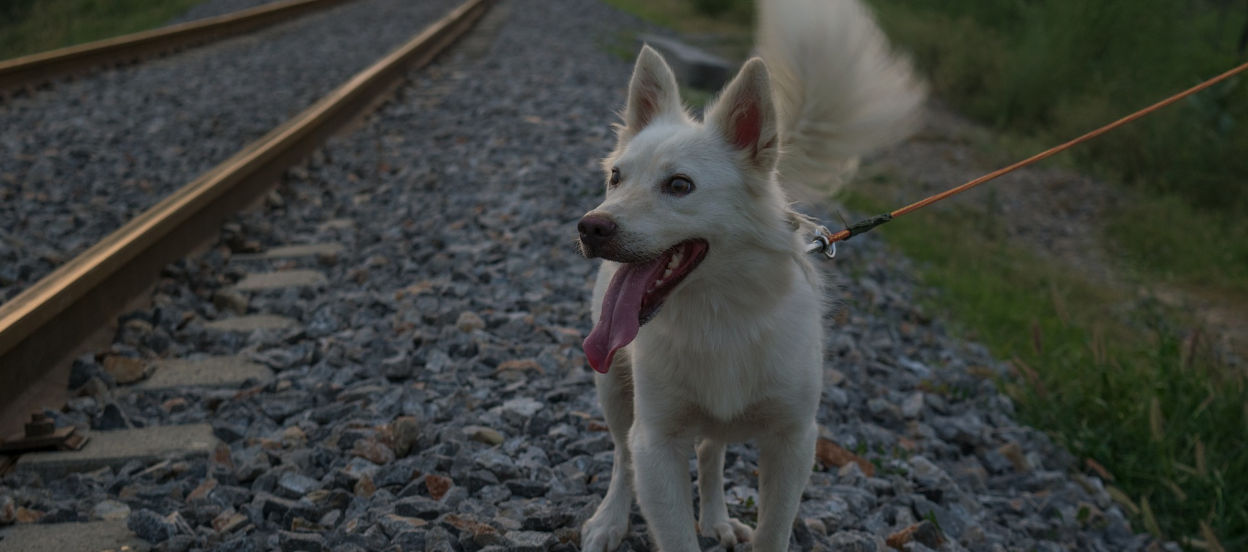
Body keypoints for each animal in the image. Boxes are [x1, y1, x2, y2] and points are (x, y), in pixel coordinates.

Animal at [576, 2, 928, 549]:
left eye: (680, 185)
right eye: (616, 177)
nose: (590, 227)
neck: (719, 312)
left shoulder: (793, 441)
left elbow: (773, 529)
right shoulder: (656, 442)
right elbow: (659, 502)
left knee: (710, 450)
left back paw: (718, 519)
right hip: (613, 385)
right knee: (620, 456)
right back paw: (610, 520)